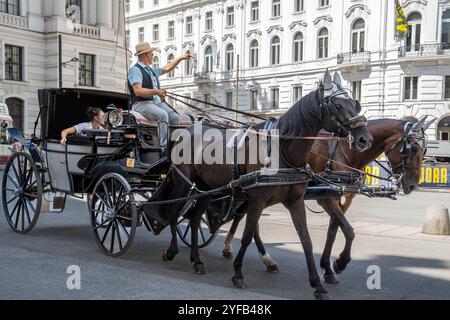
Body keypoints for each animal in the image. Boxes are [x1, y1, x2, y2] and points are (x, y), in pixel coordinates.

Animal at [158, 70, 372, 300]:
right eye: (338, 105)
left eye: (355, 103)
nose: (364, 139)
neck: (282, 150)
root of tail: (186, 130)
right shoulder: (257, 201)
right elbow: (246, 236)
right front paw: (238, 273)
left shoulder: (295, 201)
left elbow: (306, 240)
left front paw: (318, 284)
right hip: (183, 183)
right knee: (173, 213)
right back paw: (171, 250)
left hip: (205, 189)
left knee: (195, 219)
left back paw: (196, 260)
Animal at [223, 115, 434, 284]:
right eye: (414, 149)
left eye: (424, 150)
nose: (413, 185)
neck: (345, 151)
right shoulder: (326, 198)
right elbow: (348, 230)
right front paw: (340, 262)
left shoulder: (343, 198)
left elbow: (334, 230)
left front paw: (327, 267)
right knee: (246, 219)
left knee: (247, 219)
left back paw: (256, 256)